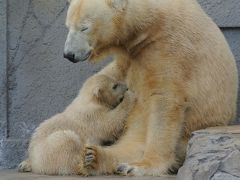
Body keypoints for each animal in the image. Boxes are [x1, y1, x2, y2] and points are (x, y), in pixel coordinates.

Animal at [63, 0, 238, 176]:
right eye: (68, 26)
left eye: (84, 27)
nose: (68, 54)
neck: (150, 24)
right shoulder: (131, 54)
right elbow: (115, 71)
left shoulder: (169, 47)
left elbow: (165, 100)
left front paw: (146, 165)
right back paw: (92, 156)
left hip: (187, 134)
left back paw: (125, 164)